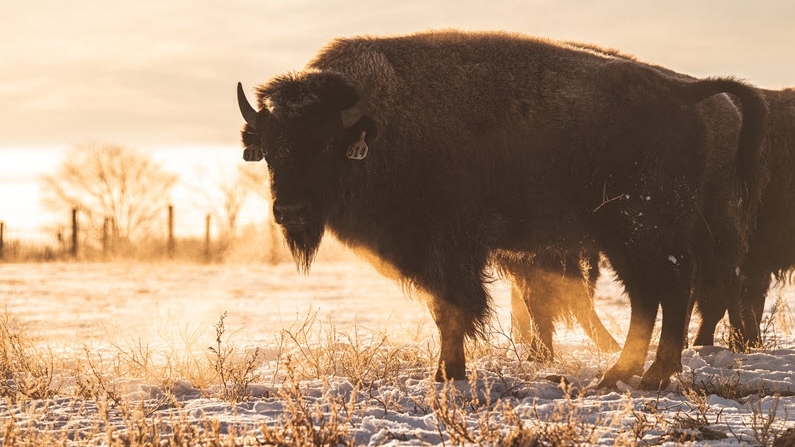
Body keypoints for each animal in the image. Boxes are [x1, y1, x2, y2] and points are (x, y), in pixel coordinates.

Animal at [237, 31, 767, 388]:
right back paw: (621, 374)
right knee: (653, 295)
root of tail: (684, 92)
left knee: (669, 290)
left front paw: (448, 375)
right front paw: (445, 373)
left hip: (640, 229)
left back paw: (645, 375)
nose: (290, 210)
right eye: (271, 146)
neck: (378, 123)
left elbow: (450, 310)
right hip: (633, 237)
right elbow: (447, 310)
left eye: (327, 143)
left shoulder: (450, 250)